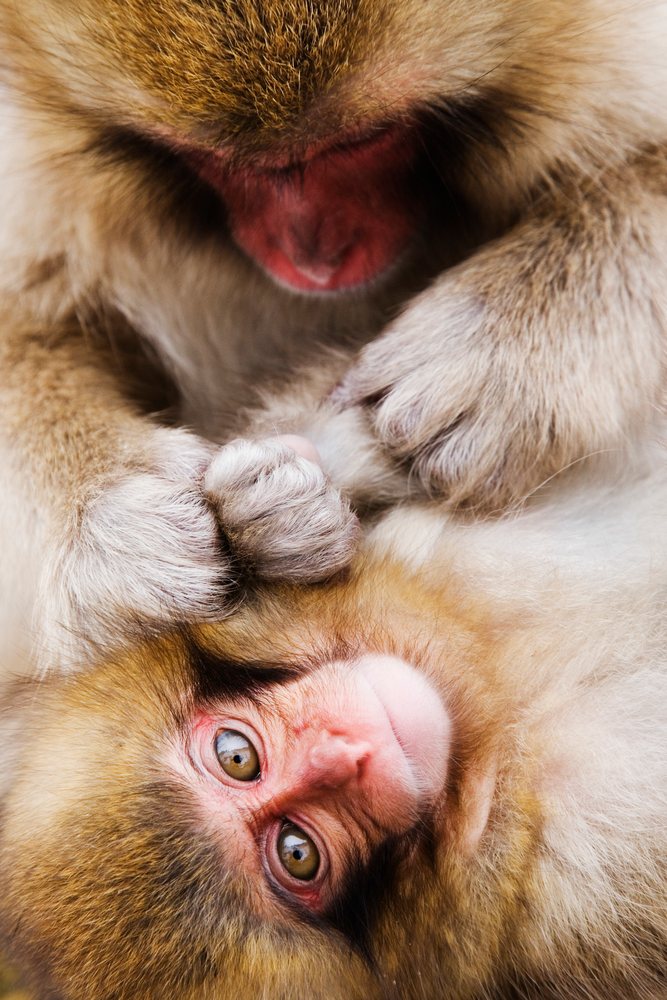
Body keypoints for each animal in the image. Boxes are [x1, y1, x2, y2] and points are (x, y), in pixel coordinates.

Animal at [0, 0, 666, 673]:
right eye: (218, 163)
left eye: (362, 141)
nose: (314, 259)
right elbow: (25, 324)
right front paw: (107, 514)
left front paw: (492, 355)